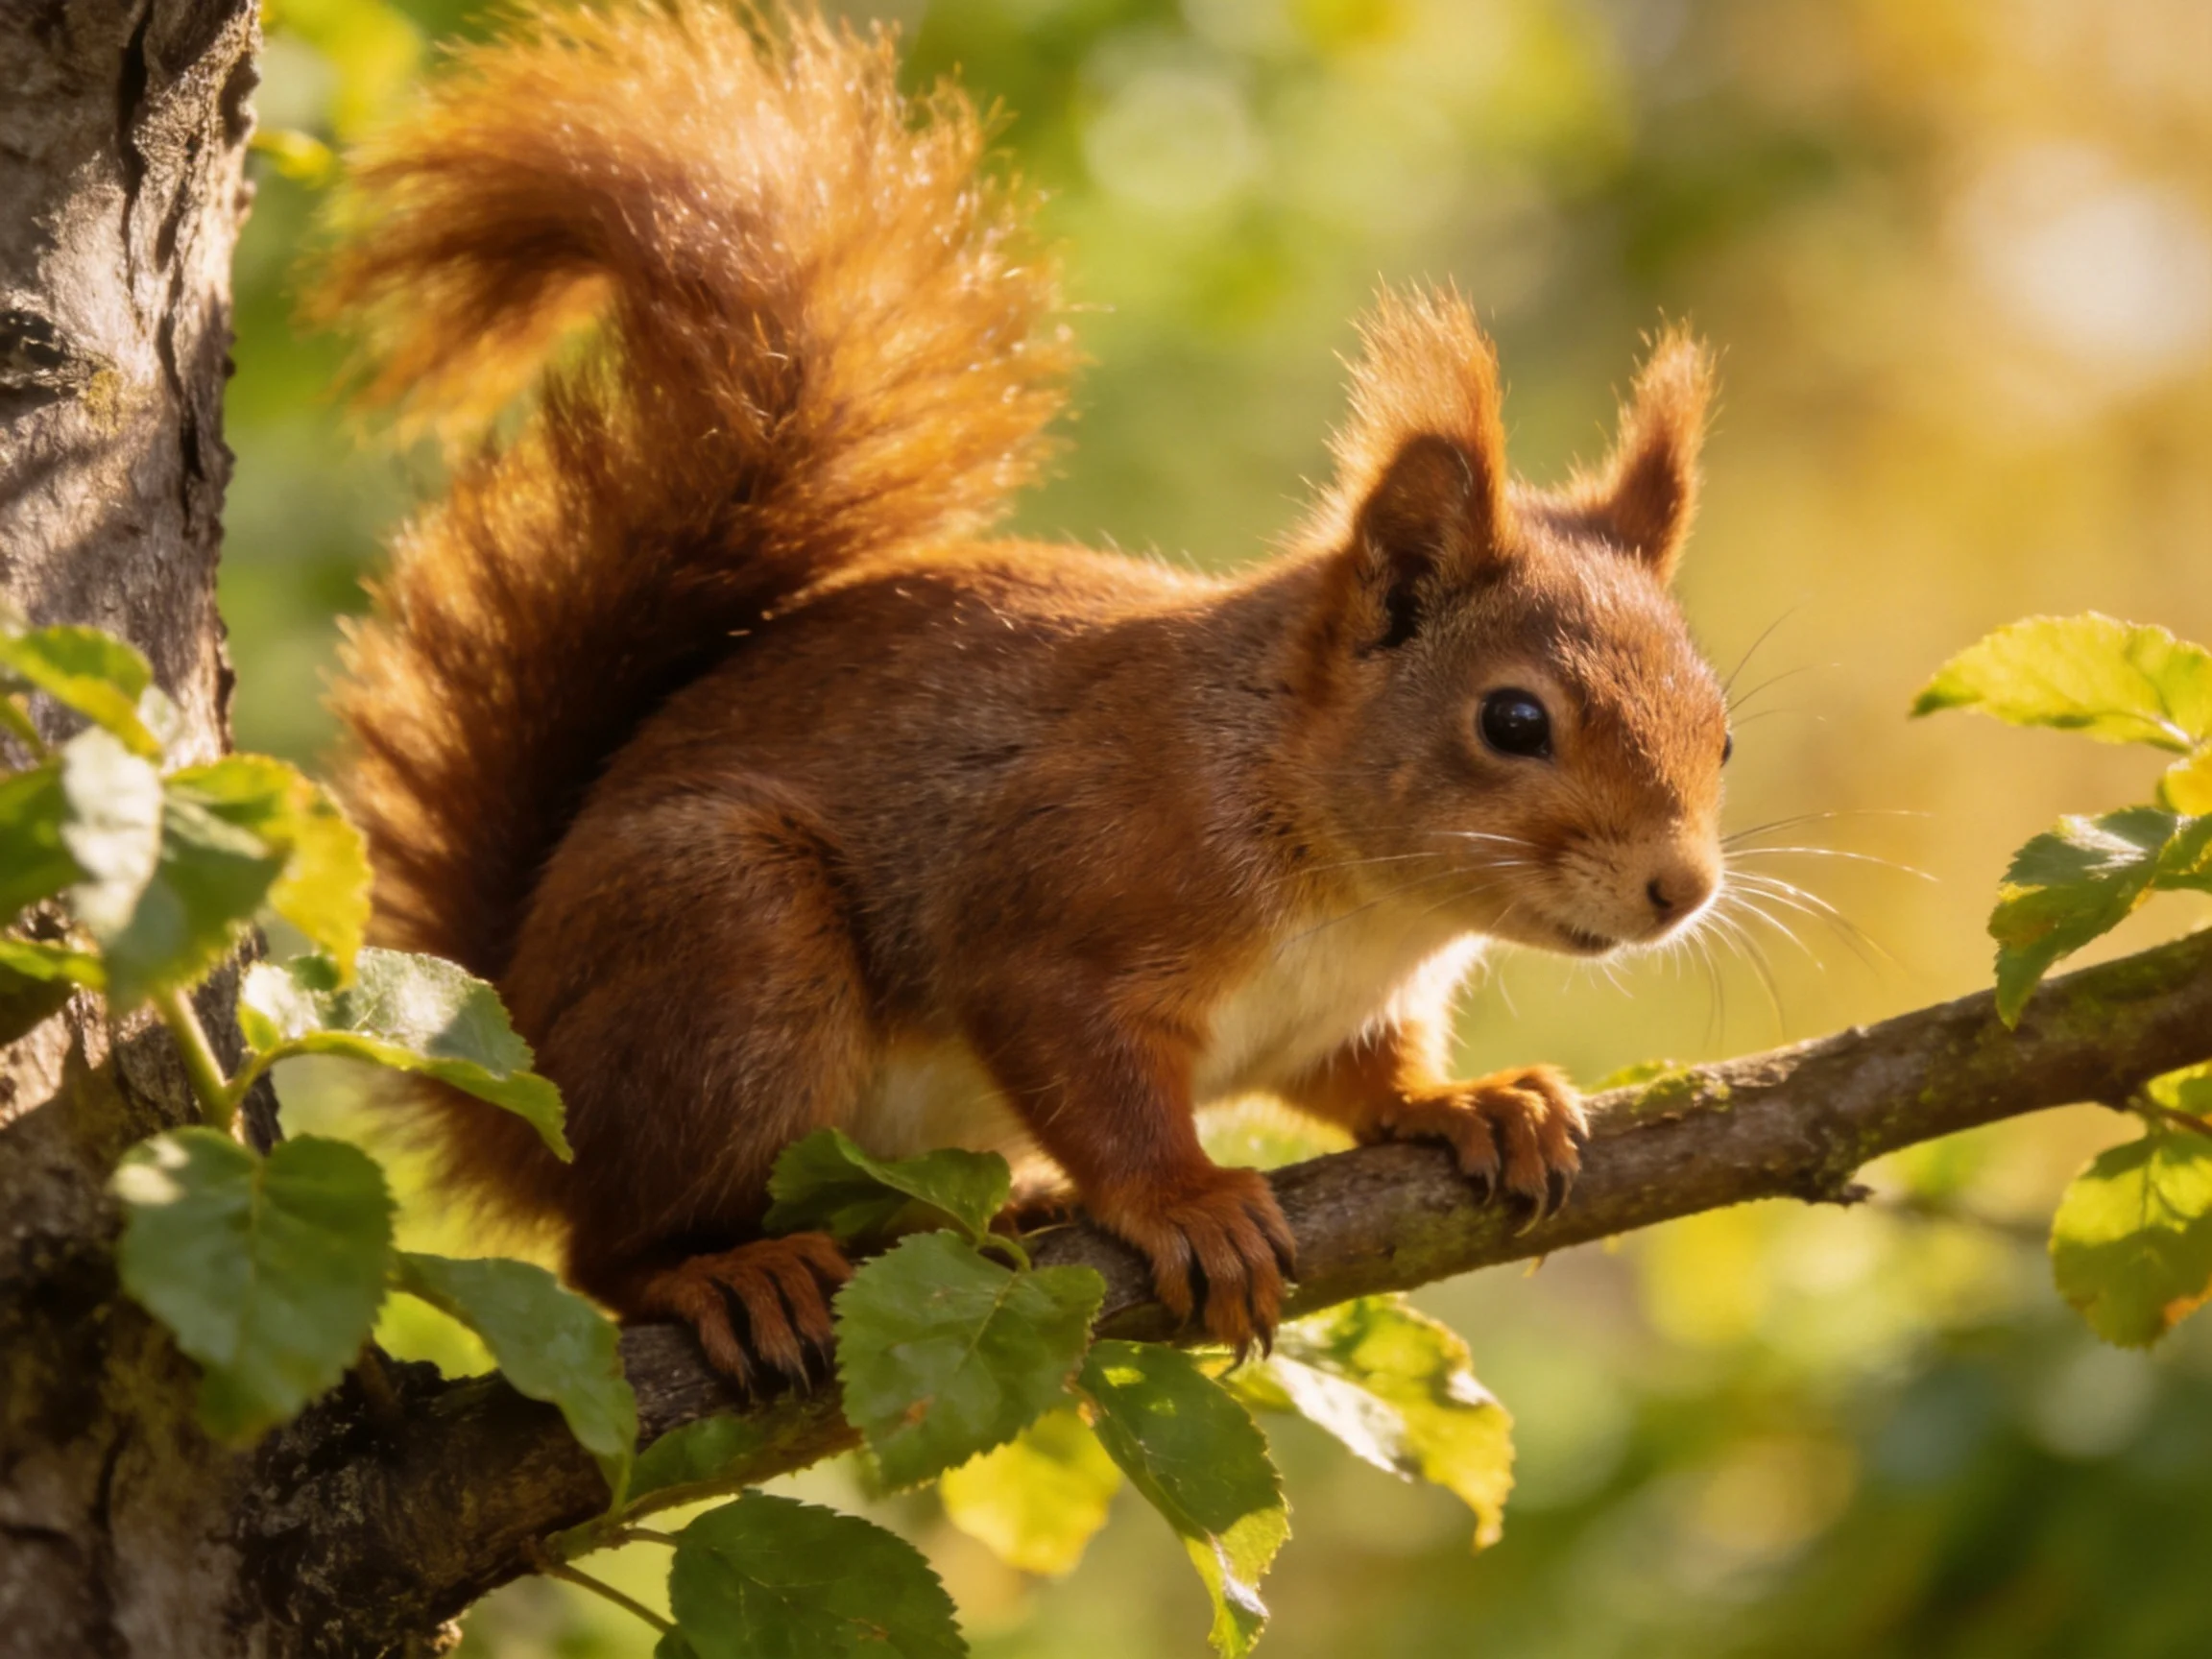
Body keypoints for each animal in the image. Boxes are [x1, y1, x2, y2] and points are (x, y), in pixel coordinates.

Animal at [324, 0, 1729, 1387]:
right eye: (1513, 721)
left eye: (1721, 732)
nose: (1683, 889)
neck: (1363, 898)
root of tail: (518, 1036)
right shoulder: (1062, 905)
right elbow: (1083, 1066)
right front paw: (1186, 1203)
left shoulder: (1341, 1018)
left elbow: (1364, 1080)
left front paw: (1468, 1102)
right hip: (728, 954)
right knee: (609, 1248)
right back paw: (726, 1271)